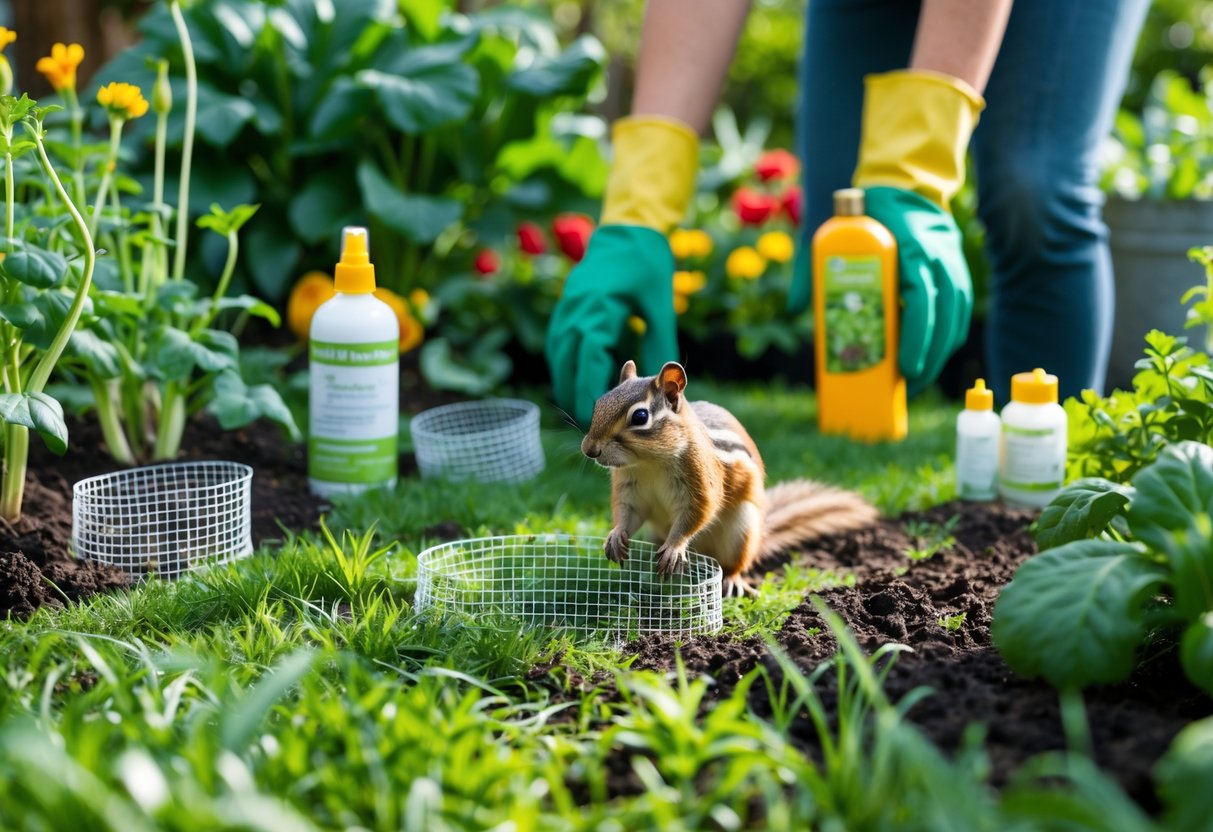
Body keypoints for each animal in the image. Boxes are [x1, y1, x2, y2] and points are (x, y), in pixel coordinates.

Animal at [580, 360, 878, 596]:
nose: (589, 450)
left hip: (741, 531)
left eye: (640, 416)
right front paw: (615, 536)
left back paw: (731, 582)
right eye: (598, 404)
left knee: (732, 566)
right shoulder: (629, 487)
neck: (648, 463)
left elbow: (698, 512)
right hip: (656, 534)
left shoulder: (701, 480)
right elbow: (627, 513)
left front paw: (675, 547)